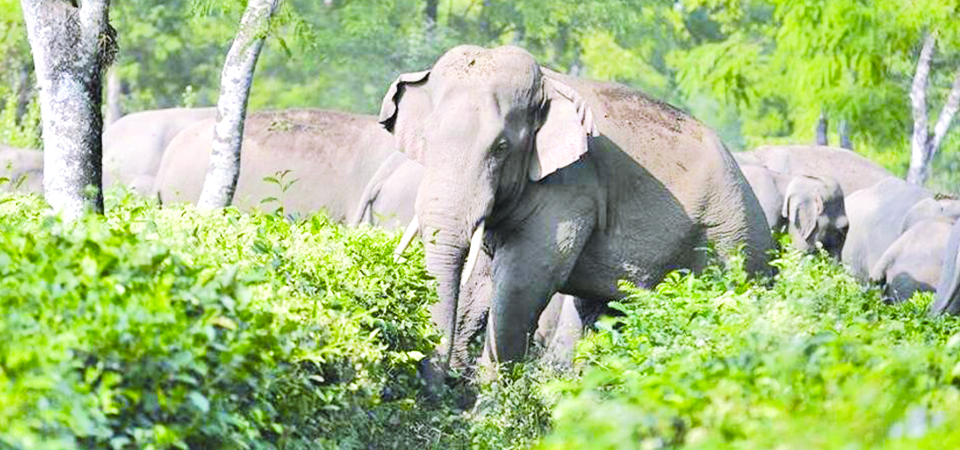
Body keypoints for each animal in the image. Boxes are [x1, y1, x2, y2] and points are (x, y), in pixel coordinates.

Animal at [381, 45, 775, 370]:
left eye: (501, 147)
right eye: (426, 139)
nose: (435, 383)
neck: (547, 81)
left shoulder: (572, 187)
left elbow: (521, 284)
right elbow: (482, 281)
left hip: (732, 243)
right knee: (604, 314)